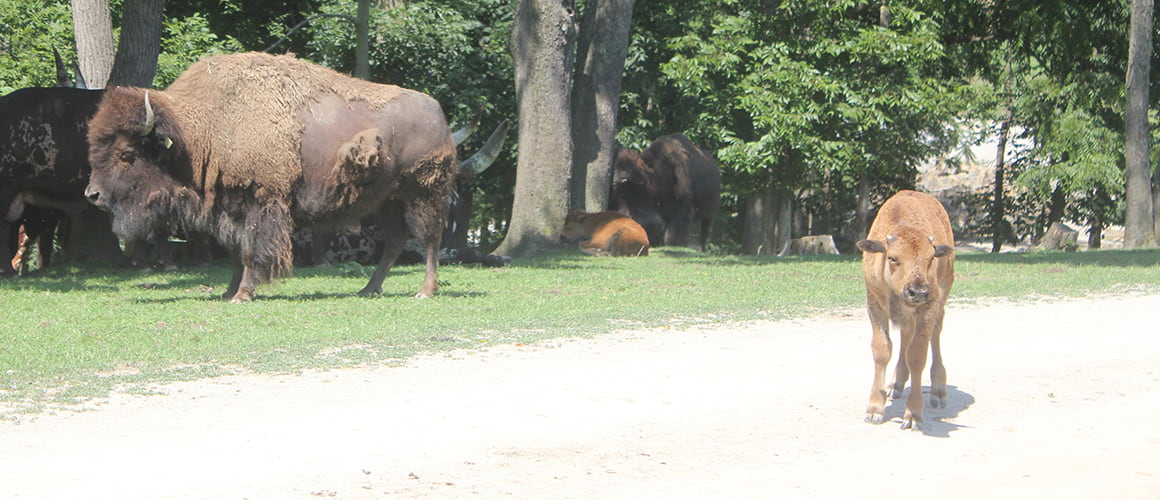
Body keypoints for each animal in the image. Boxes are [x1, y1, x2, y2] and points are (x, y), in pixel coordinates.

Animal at [84, 52, 492, 302]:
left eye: (127, 154)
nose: (93, 196)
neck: (204, 131)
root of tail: (439, 115)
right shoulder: (232, 207)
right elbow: (236, 251)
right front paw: (229, 292)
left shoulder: (262, 202)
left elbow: (251, 250)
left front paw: (243, 294)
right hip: (385, 201)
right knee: (395, 241)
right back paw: (367, 289)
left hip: (423, 192)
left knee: (430, 239)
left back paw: (424, 290)